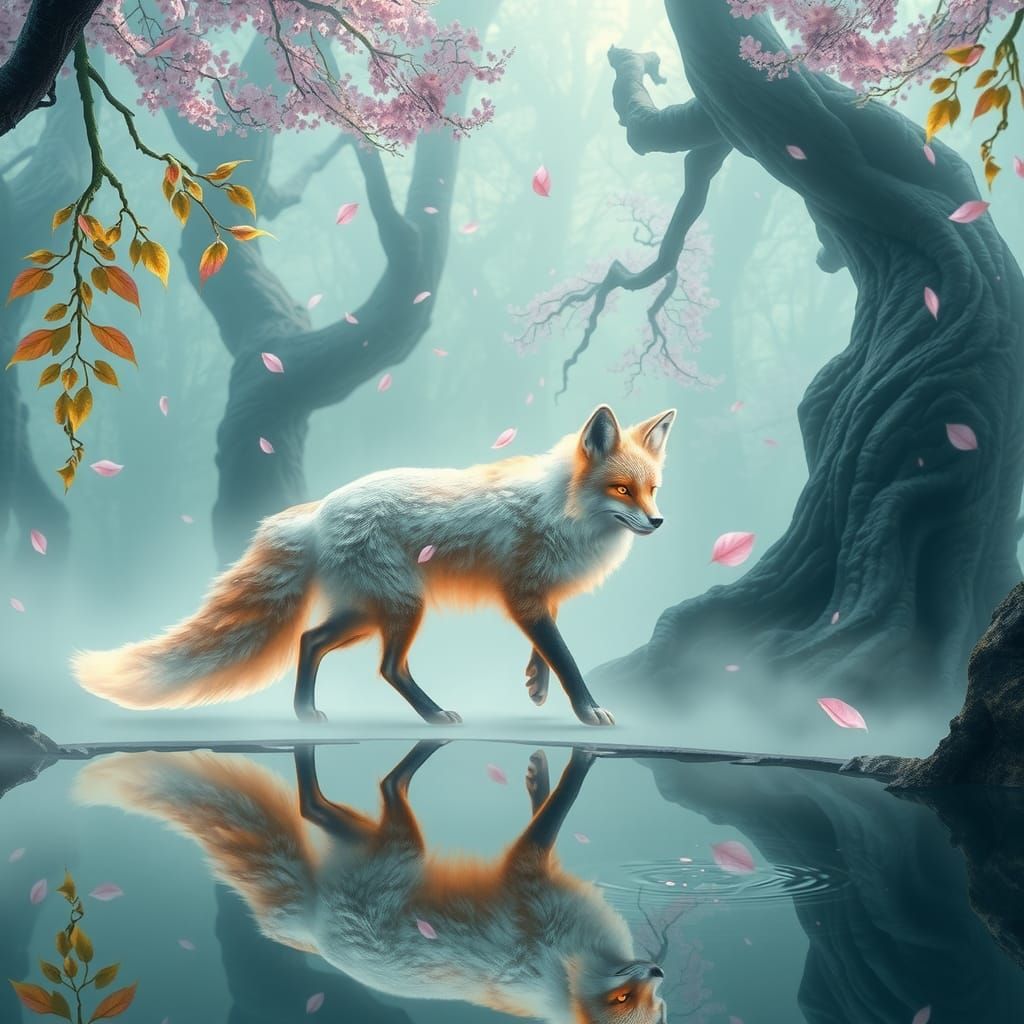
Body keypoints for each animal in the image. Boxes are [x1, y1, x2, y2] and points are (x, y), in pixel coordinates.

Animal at [72, 403, 675, 726]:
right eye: (622, 490)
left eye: (652, 489)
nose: (658, 522)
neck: (562, 508)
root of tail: (319, 510)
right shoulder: (523, 595)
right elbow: (567, 658)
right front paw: (589, 712)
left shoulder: (536, 596)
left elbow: (547, 652)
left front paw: (535, 685)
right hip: (402, 606)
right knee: (388, 668)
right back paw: (432, 715)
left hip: (368, 611)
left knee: (310, 640)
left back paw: (306, 714)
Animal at [74, 742, 668, 1024]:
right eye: (622, 998)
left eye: (649, 1003)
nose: (659, 969)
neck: (557, 966)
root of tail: (312, 927)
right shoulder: (529, 874)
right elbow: (556, 805)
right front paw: (553, 771)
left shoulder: (533, 876)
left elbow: (550, 811)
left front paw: (547, 772)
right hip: (400, 843)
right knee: (355, 792)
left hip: (387, 842)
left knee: (322, 807)